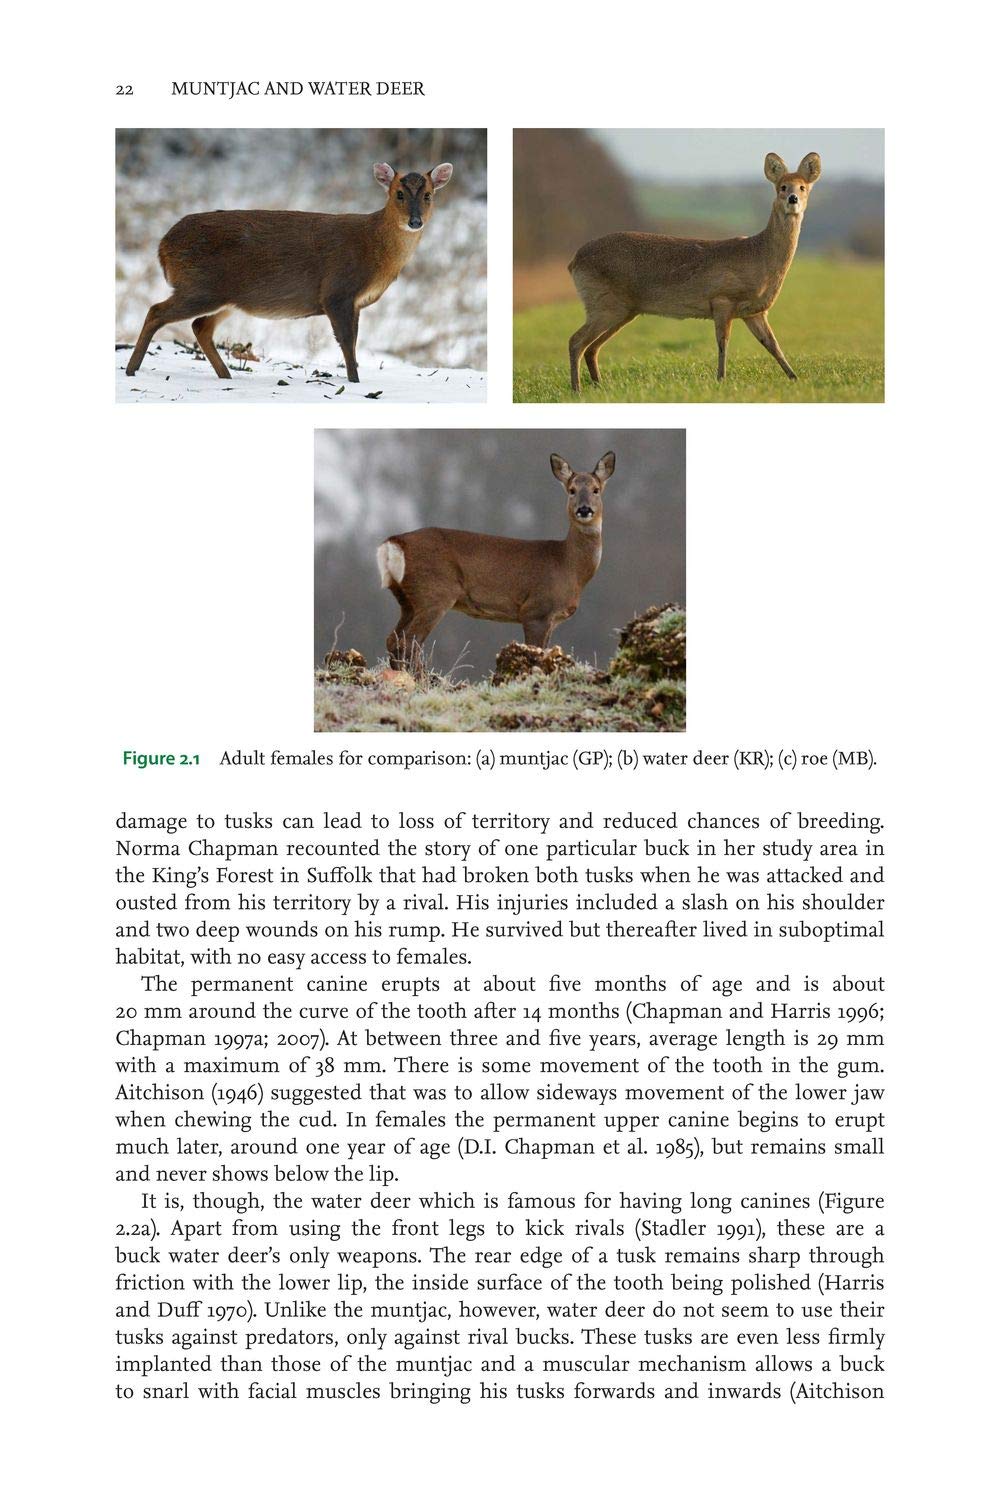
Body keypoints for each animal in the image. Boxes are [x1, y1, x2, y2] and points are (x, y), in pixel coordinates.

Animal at [124, 162, 454, 382]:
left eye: (428, 195)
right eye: (399, 193)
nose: (415, 221)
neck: (374, 248)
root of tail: (163, 246)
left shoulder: (356, 302)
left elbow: (354, 341)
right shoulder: (337, 291)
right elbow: (347, 343)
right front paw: (355, 382)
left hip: (226, 296)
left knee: (200, 326)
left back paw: (226, 375)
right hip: (199, 285)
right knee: (156, 311)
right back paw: (131, 369)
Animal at [377, 452, 616, 673]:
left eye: (596, 489)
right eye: (571, 490)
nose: (584, 509)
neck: (568, 566)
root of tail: (394, 543)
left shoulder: (551, 619)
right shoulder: (535, 610)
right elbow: (537, 651)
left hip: (407, 599)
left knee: (392, 639)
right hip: (434, 592)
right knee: (408, 641)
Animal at [567, 151, 822, 392]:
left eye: (803, 187)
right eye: (782, 187)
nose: (793, 199)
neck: (760, 255)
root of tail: (574, 262)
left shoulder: (754, 311)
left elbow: (772, 344)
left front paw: (795, 378)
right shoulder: (722, 299)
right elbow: (723, 342)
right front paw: (721, 379)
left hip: (623, 310)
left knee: (592, 347)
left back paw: (598, 386)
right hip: (604, 304)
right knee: (576, 341)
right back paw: (577, 390)